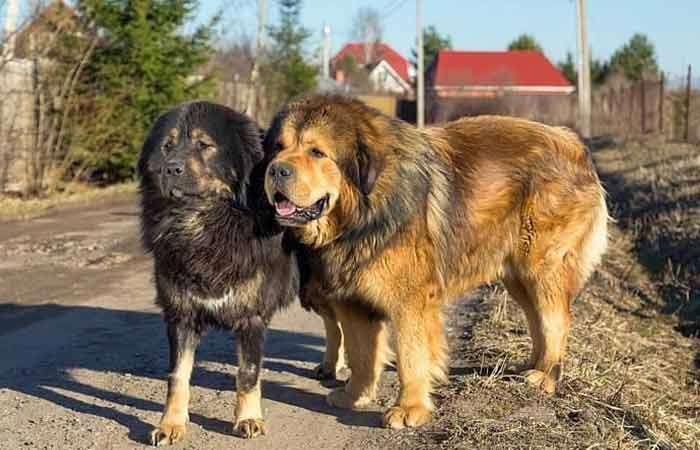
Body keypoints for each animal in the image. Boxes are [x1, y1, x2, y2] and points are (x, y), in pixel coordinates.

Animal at [139, 101, 298, 442]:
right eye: (167, 146)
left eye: (204, 145)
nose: (171, 168)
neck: (202, 224)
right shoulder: (181, 315)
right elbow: (178, 376)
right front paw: (170, 424)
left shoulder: (251, 316)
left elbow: (248, 373)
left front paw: (248, 418)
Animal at [262, 95, 608, 428]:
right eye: (278, 147)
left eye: (317, 152)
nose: (277, 170)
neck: (363, 215)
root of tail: (573, 143)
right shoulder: (352, 301)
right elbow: (361, 355)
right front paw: (354, 396)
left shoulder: (409, 302)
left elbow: (411, 356)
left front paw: (409, 409)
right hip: (516, 276)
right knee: (536, 320)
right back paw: (532, 366)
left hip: (541, 267)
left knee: (555, 320)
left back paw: (546, 375)